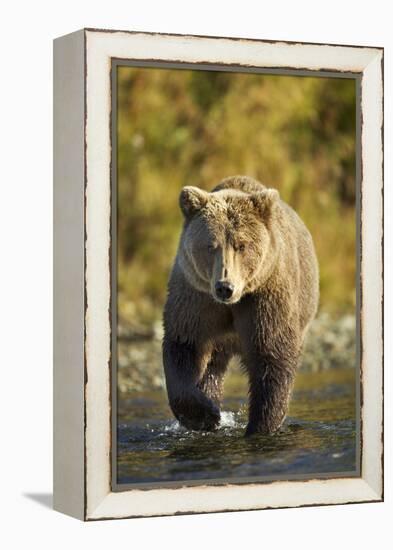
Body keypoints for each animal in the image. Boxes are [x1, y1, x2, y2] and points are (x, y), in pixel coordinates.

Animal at [162, 176, 318, 436]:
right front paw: (205, 415)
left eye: (241, 245)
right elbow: (184, 345)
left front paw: (260, 426)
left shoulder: (264, 298)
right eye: (210, 245)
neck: (233, 303)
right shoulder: (196, 297)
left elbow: (272, 356)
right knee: (212, 367)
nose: (225, 287)